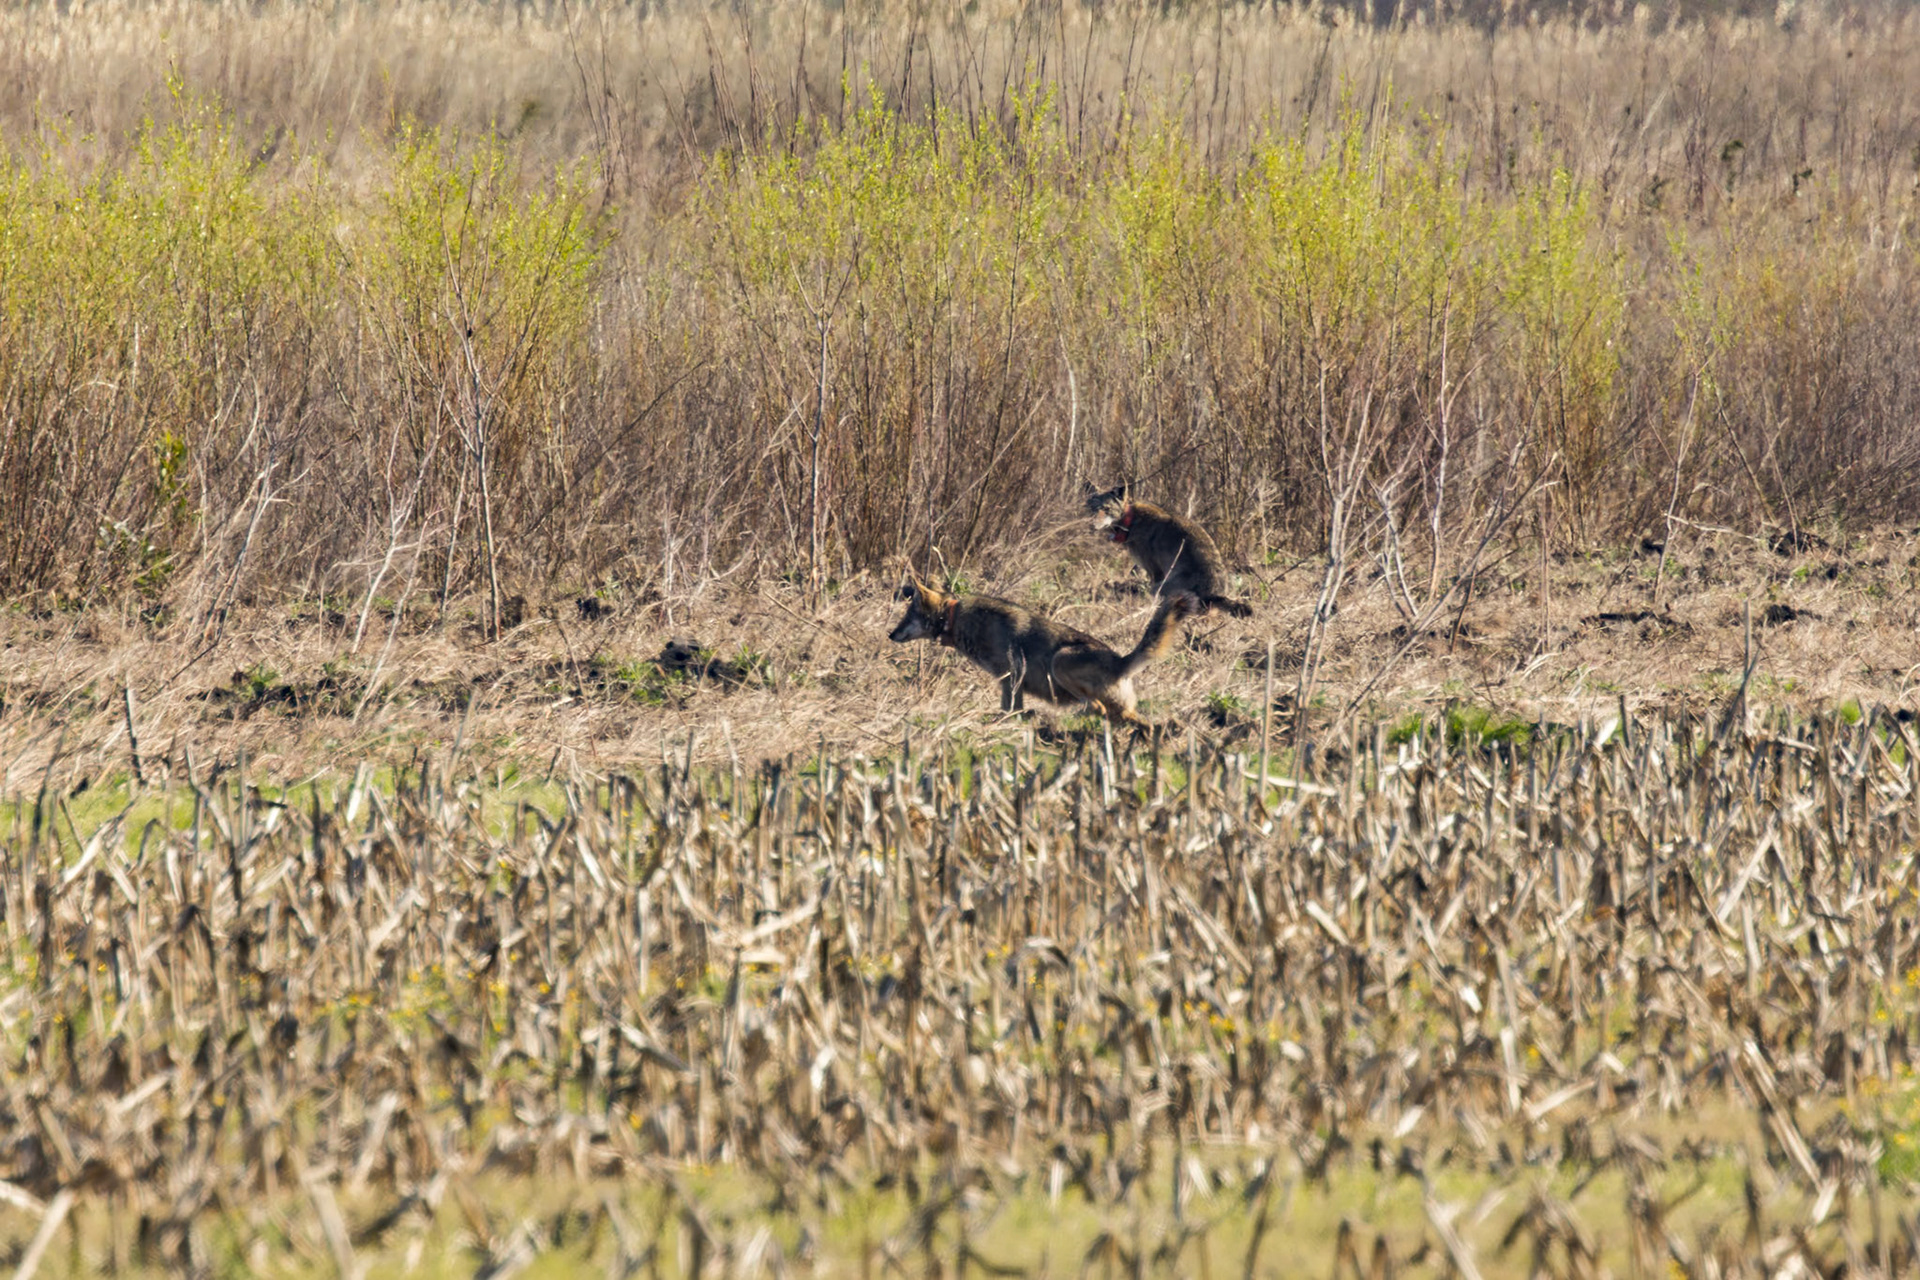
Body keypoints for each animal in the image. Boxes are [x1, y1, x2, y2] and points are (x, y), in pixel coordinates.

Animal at [888, 580, 1197, 727]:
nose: (890, 635)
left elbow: (1010, 708)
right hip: (1121, 708)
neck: (957, 618)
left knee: (1094, 707)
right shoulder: (1010, 679)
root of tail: (1121, 662)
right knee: (1133, 721)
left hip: (1060, 661)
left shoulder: (1012, 674)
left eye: (907, 616)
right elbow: (1011, 708)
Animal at [1085, 484, 1254, 618]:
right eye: (1092, 509)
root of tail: (1213, 593)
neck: (1130, 521)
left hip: (1158, 588)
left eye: (1106, 509)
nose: (1091, 525)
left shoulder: (1155, 572)